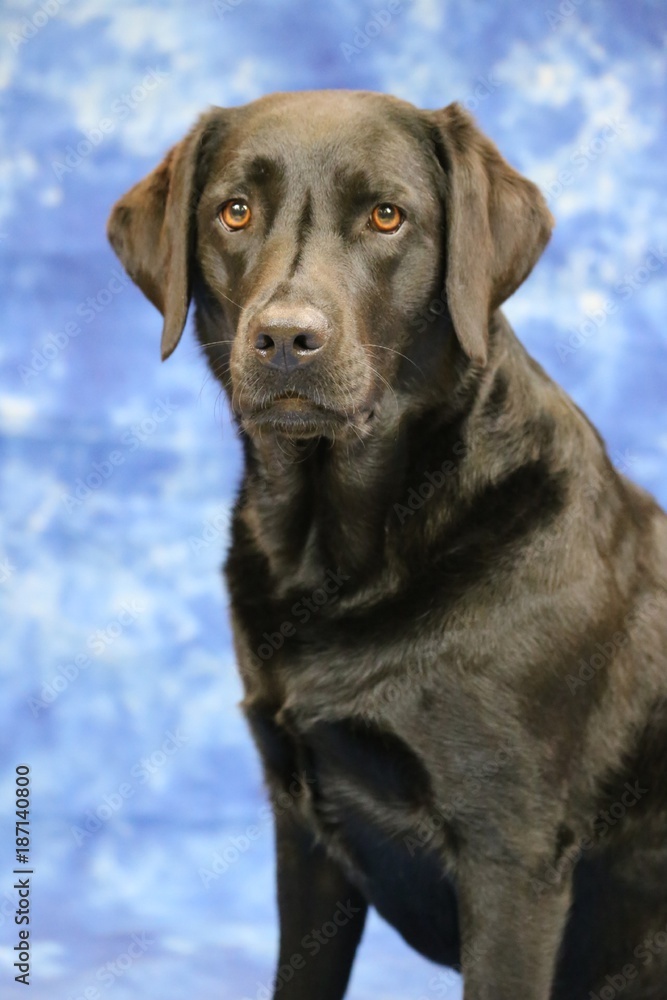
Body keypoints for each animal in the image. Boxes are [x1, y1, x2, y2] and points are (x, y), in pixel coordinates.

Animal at [108, 90, 667, 996]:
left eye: (386, 216)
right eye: (235, 211)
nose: (285, 338)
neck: (342, 558)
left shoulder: (510, 856)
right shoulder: (303, 831)